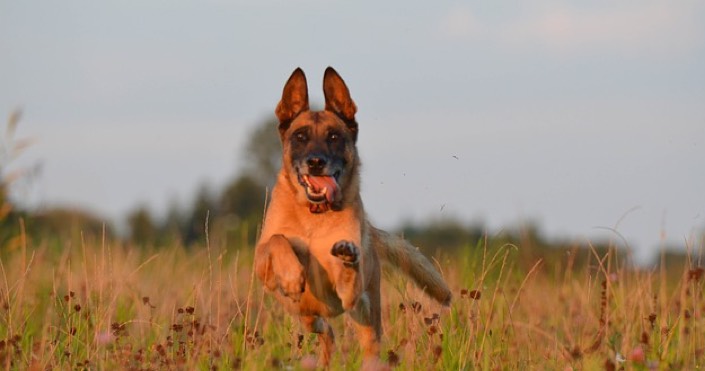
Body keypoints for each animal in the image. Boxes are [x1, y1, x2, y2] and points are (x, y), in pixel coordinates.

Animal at [253, 67, 452, 370]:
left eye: (334, 137)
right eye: (300, 137)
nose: (316, 162)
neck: (314, 217)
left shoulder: (348, 295)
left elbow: (348, 279)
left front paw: (347, 257)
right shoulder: (261, 265)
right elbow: (278, 240)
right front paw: (291, 274)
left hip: (367, 321)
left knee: (356, 332)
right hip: (307, 316)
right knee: (326, 332)